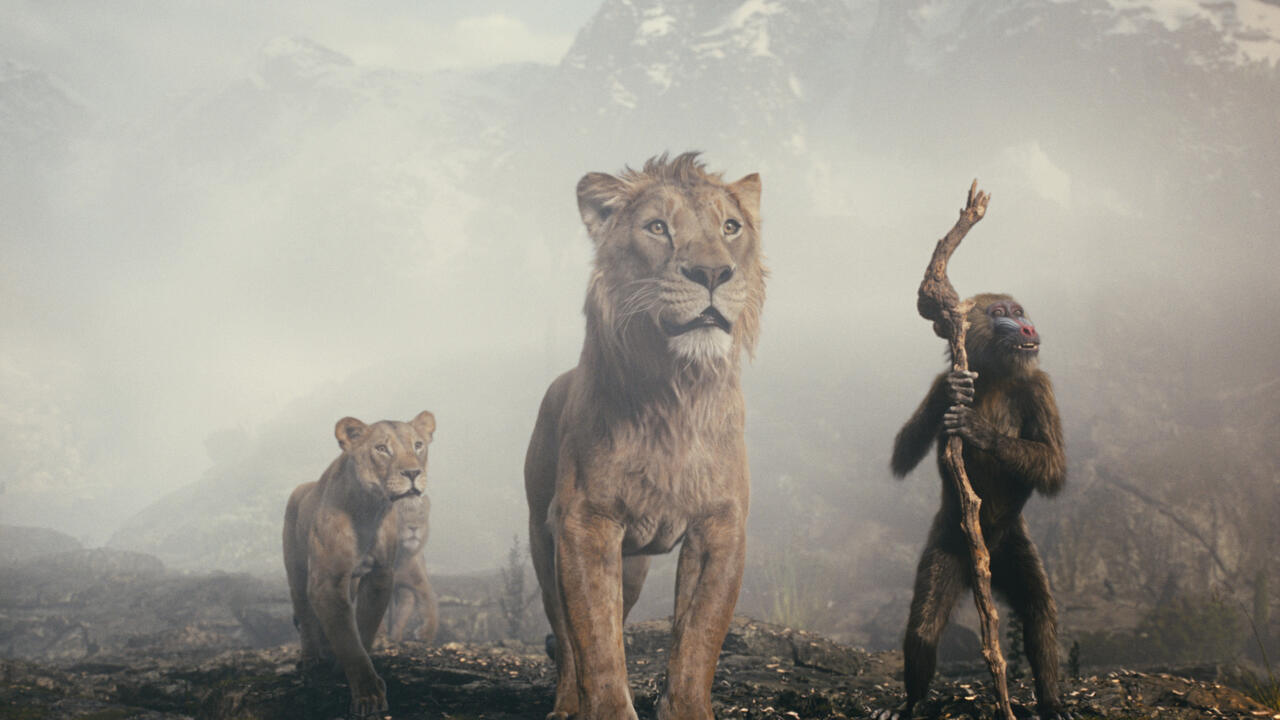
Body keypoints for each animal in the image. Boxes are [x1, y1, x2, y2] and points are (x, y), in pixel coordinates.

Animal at [283, 410, 436, 719]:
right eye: (382, 449)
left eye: (418, 445)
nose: (413, 473)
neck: (369, 509)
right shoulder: (326, 582)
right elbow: (347, 637)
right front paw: (368, 696)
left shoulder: (380, 576)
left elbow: (363, 628)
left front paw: (350, 673)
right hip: (296, 570)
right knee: (305, 613)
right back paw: (312, 659)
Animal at [525, 152, 765, 720]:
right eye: (658, 228)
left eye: (731, 227)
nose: (712, 272)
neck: (676, 392)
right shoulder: (585, 523)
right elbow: (596, 642)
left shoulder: (721, 525)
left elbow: (698, 639)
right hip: (544, 539)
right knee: (566, 636)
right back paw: (566, 704)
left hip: (632, 566)